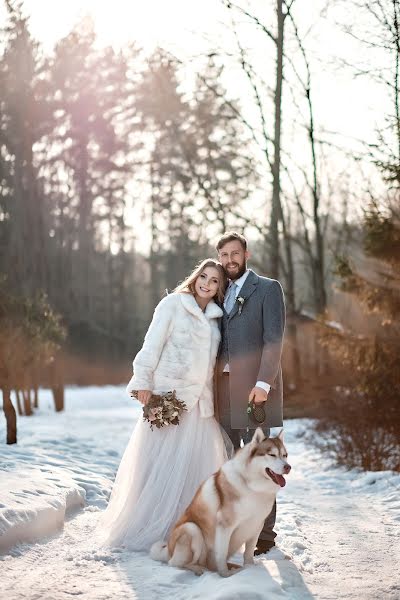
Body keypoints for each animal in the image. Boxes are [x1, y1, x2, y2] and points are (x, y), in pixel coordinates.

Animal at [150, 426, 290, 576]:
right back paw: (200, 569)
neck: (252, 486)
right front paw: (225, 575)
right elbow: (221, 553)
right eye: (272, 455)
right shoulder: (224, 525)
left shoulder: (256, 524)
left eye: (285, 455)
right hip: (192, 529)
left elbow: (248, 552)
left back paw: (234, 566)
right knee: (177, 563)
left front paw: (249, 568)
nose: (288, 467)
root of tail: (168, 550)